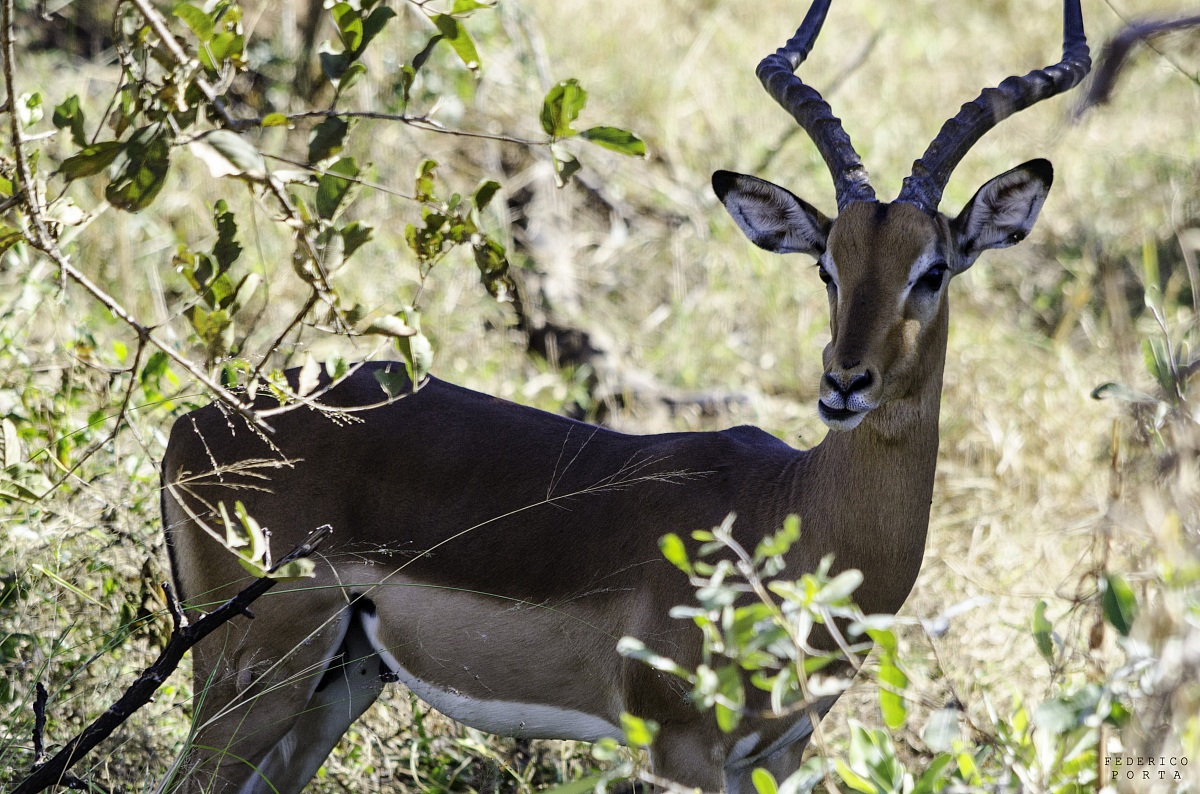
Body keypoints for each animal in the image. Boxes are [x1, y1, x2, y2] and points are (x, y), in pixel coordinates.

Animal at [162, 2, 1090, 791]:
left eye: (932, 270)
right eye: (828, 265)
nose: (843, 383)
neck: (792, 516)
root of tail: (199, 423)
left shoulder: (779, 752)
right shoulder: (683, 748)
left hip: (336, 686)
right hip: (252, 683)